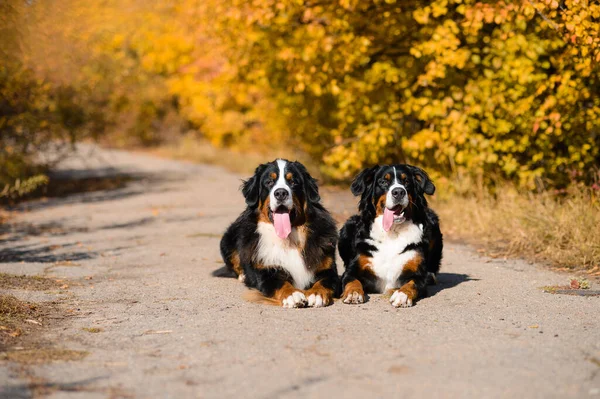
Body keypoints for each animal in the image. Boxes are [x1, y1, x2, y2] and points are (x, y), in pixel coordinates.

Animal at [219, 159, 342, 310]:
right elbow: (280, 283)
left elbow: (324, 281)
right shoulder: (265, 271)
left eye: (293, 182)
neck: (288, 238)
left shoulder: (328, 268)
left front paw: (316, 293)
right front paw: (292, 295)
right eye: (269, 182)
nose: (281, 193)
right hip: (227, 241)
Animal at [340, 164, 442, 308]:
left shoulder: (417, 274)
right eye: (383, 182)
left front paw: (402, 295)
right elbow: (352, 281)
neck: (392, 232)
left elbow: (411, 284)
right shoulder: (352, 270)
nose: (398, 192)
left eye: (406, 182)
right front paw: (353, 293)